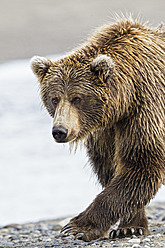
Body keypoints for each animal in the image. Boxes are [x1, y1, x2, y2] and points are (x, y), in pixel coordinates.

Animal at [30, 17, 164, 242]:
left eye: (77, 98)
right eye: (54, 98)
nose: (60, 131)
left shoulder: (146, 106)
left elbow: (142, 161)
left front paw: (77, 227)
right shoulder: (104, 129)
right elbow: (110, 166)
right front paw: (130, 226)